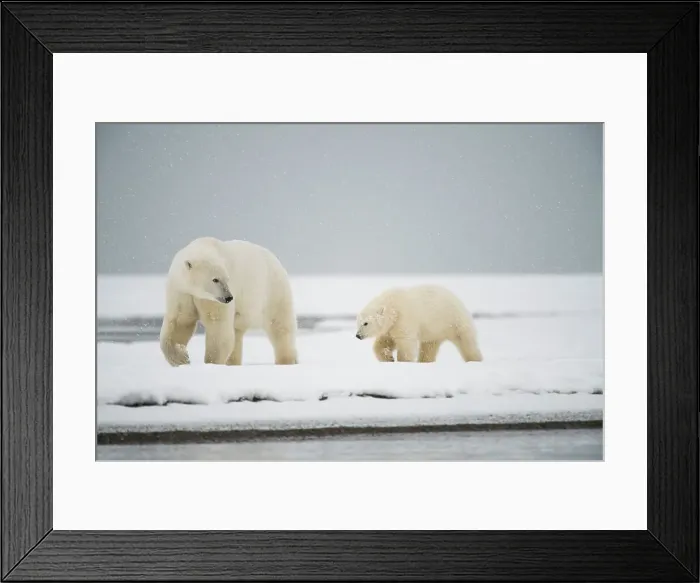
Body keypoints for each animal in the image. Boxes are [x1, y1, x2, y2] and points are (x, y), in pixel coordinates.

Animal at [159, 237, 298, 367]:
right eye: (215, 279)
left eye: (227, 279)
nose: (229, 297)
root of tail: (275, 259)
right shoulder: (182, 291)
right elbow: (180, 321)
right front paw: (181, 357)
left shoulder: (213, 300)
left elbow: (218, 327)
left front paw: (211, 363)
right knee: (237, 334)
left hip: (272, 291)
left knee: (280, 326)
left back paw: (287, 361)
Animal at [355, 285, 483, 363]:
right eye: (358, 323)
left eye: (366, 323)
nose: (358, 335)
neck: (393, 307)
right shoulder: (391, 326)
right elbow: (383, 342)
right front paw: (389, 358)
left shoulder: (404, 320)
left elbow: (405, 343)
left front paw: (403, 361)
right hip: (436, 330)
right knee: (429, 346)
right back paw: (424, 362)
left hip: (454, 321)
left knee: (466, 342)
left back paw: (475, 360)